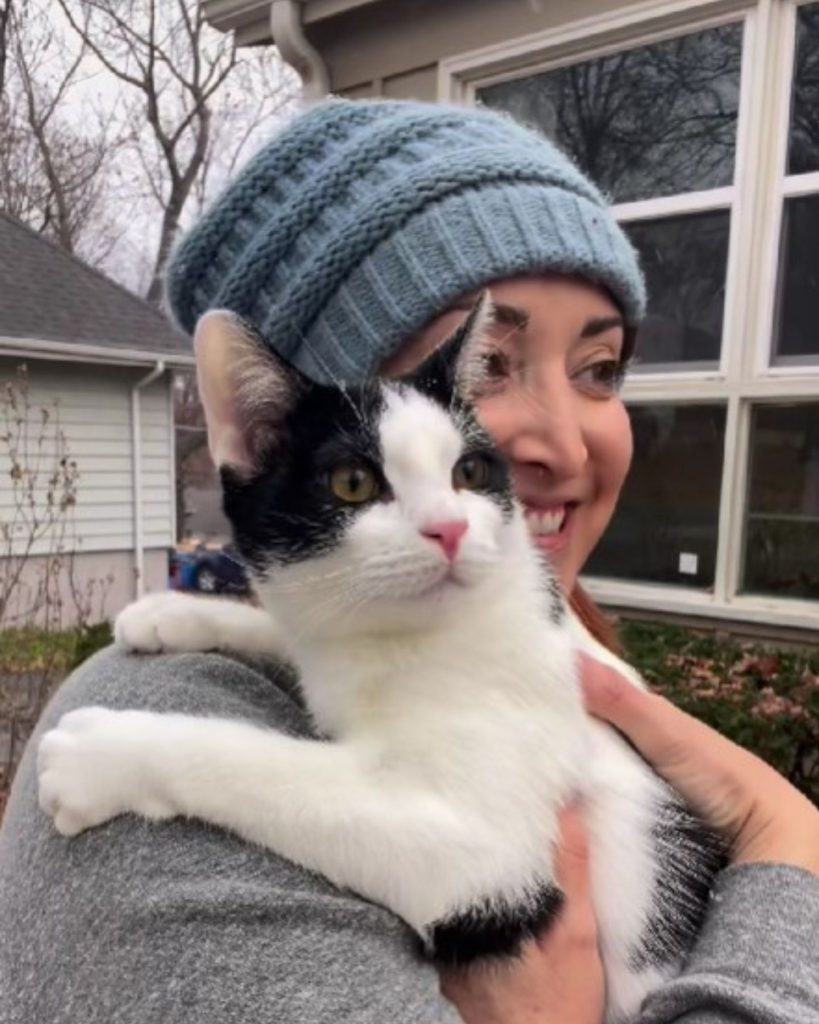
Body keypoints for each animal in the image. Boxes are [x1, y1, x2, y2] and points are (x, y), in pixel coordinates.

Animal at [38, 299, 724, 1024]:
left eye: (469, 473)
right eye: (352, 482)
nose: (450, 528)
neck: (407, 638)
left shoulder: (489, 852)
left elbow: (263, 768)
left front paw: (105, 753)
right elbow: (294, 637)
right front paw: (174, 614)